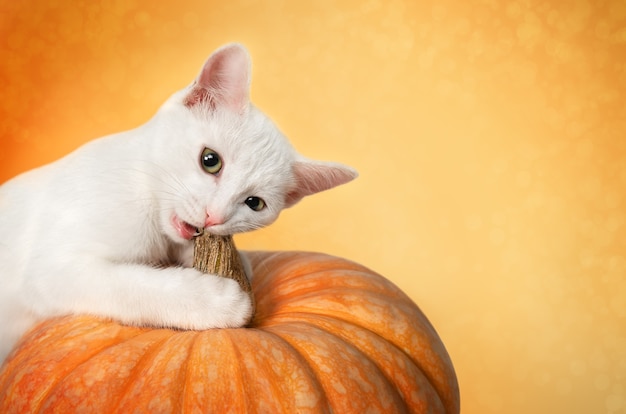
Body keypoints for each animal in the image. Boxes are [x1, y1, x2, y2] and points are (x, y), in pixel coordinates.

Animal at [0, 42, 356, 362]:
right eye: (210, 160)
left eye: (255, 203)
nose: (214, 216)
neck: (141, 187)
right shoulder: (51, 271)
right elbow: (127, 284)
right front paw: (213, 301)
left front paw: (235, 263)